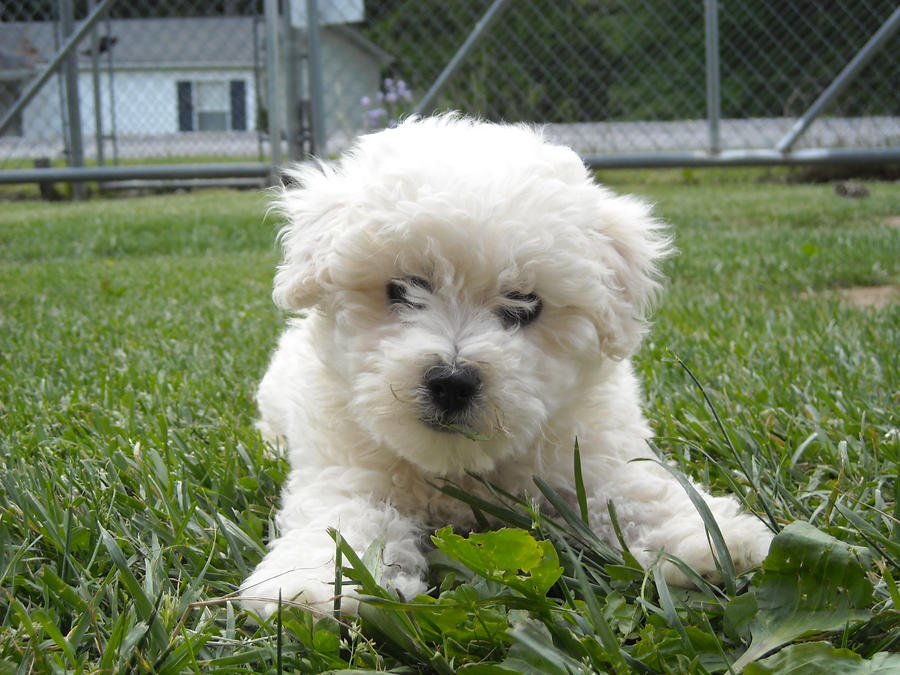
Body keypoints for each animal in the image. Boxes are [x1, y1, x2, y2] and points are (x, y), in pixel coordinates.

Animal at [241, 116, 772, 616]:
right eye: (403, 289)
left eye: (524, 303)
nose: (452, 382)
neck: (458, 470)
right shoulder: (346, 472)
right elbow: (340, 521)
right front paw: (312, 585)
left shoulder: (589, 449)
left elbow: (633, 489)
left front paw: (708, 536)